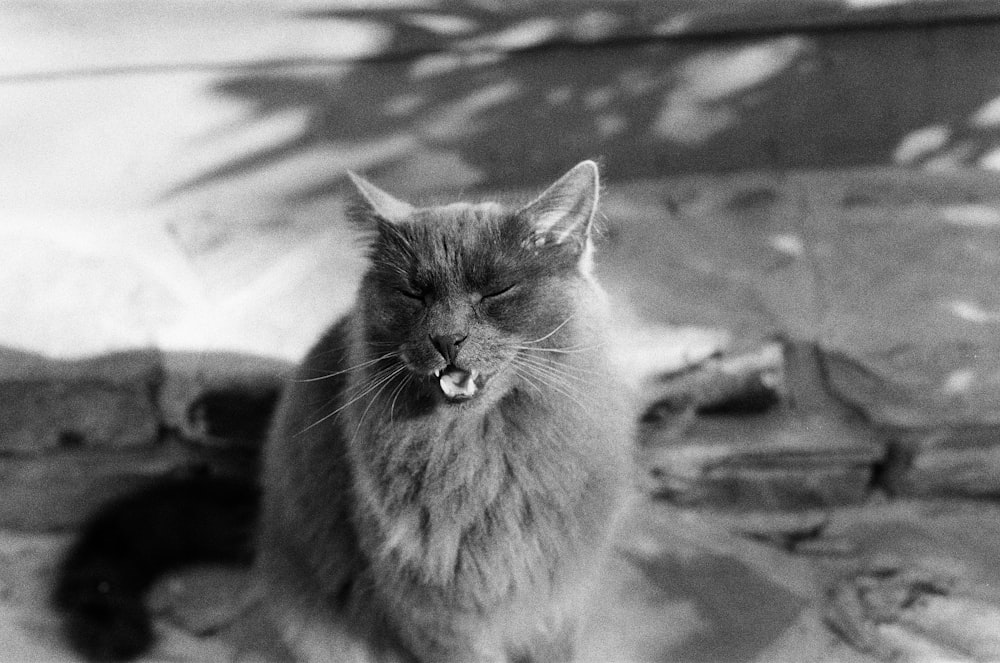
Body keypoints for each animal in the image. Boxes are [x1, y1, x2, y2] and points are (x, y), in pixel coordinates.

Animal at [52, 162, 632, 663]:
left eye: (496, 290)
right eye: (414, 294)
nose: (447, 339)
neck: (485, 458)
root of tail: (263, 513)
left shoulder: (552, 605)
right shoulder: (434, 615)